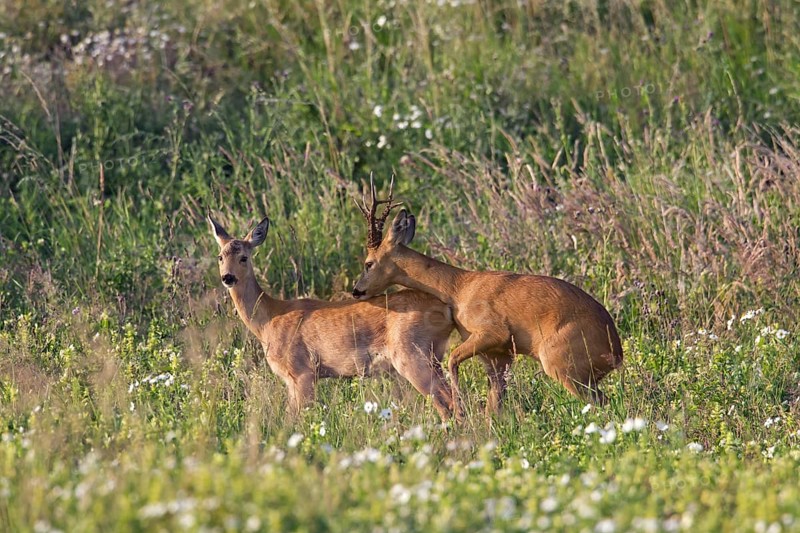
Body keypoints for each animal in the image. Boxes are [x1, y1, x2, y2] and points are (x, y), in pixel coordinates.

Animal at [208, 213, 456, 420]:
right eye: (220, 256)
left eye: (244, 257)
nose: (227, 277)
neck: (269, 319)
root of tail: (446, 309)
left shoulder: (303, 371)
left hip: (412, 355)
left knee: (449, 404)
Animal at [351, 178, 623, 416]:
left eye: (368, 263)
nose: (357, 290)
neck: (458, 288)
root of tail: (616, 352)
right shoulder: (498, 355)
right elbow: (494, 406)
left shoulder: (493, 332)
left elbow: (452, 361)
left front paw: (462, 410)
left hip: (562, 365)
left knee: (602, 402)